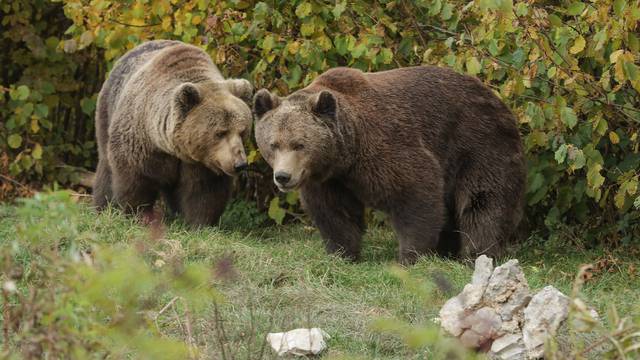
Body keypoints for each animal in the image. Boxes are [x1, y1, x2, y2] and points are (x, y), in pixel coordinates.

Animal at [254, 67, 524, 264]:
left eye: (299, 144)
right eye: (273, 144)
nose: (283, 176)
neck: (346, 154)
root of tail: (496, 97)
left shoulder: (386, 148)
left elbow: (416, 192)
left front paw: (411, 256)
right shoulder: (328, 179)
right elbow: (334, 213)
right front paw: (342, 254)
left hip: (478, 144)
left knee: (483, 201)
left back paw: (477, 254)